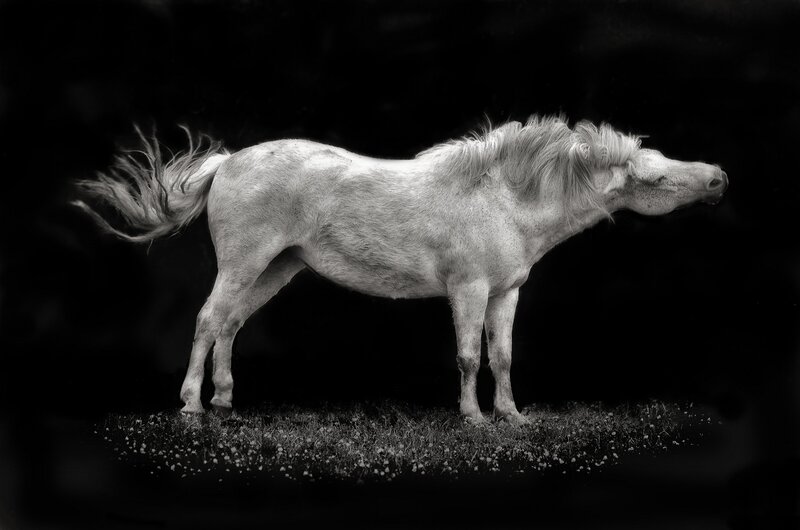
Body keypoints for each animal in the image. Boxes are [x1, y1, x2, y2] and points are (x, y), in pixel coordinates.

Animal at [74, 115, 727, 424]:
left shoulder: (506, 293)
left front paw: (511, 415)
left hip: (275, 269)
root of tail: (228, 162)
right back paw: (190, 404)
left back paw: (226, 401)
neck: (503, 198)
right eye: (656, 179)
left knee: (231, 325)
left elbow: (503, 355)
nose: (718, 177)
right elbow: (468, 355)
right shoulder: (468, 290)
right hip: (245, 261)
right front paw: (473, 418)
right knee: (209, 320)